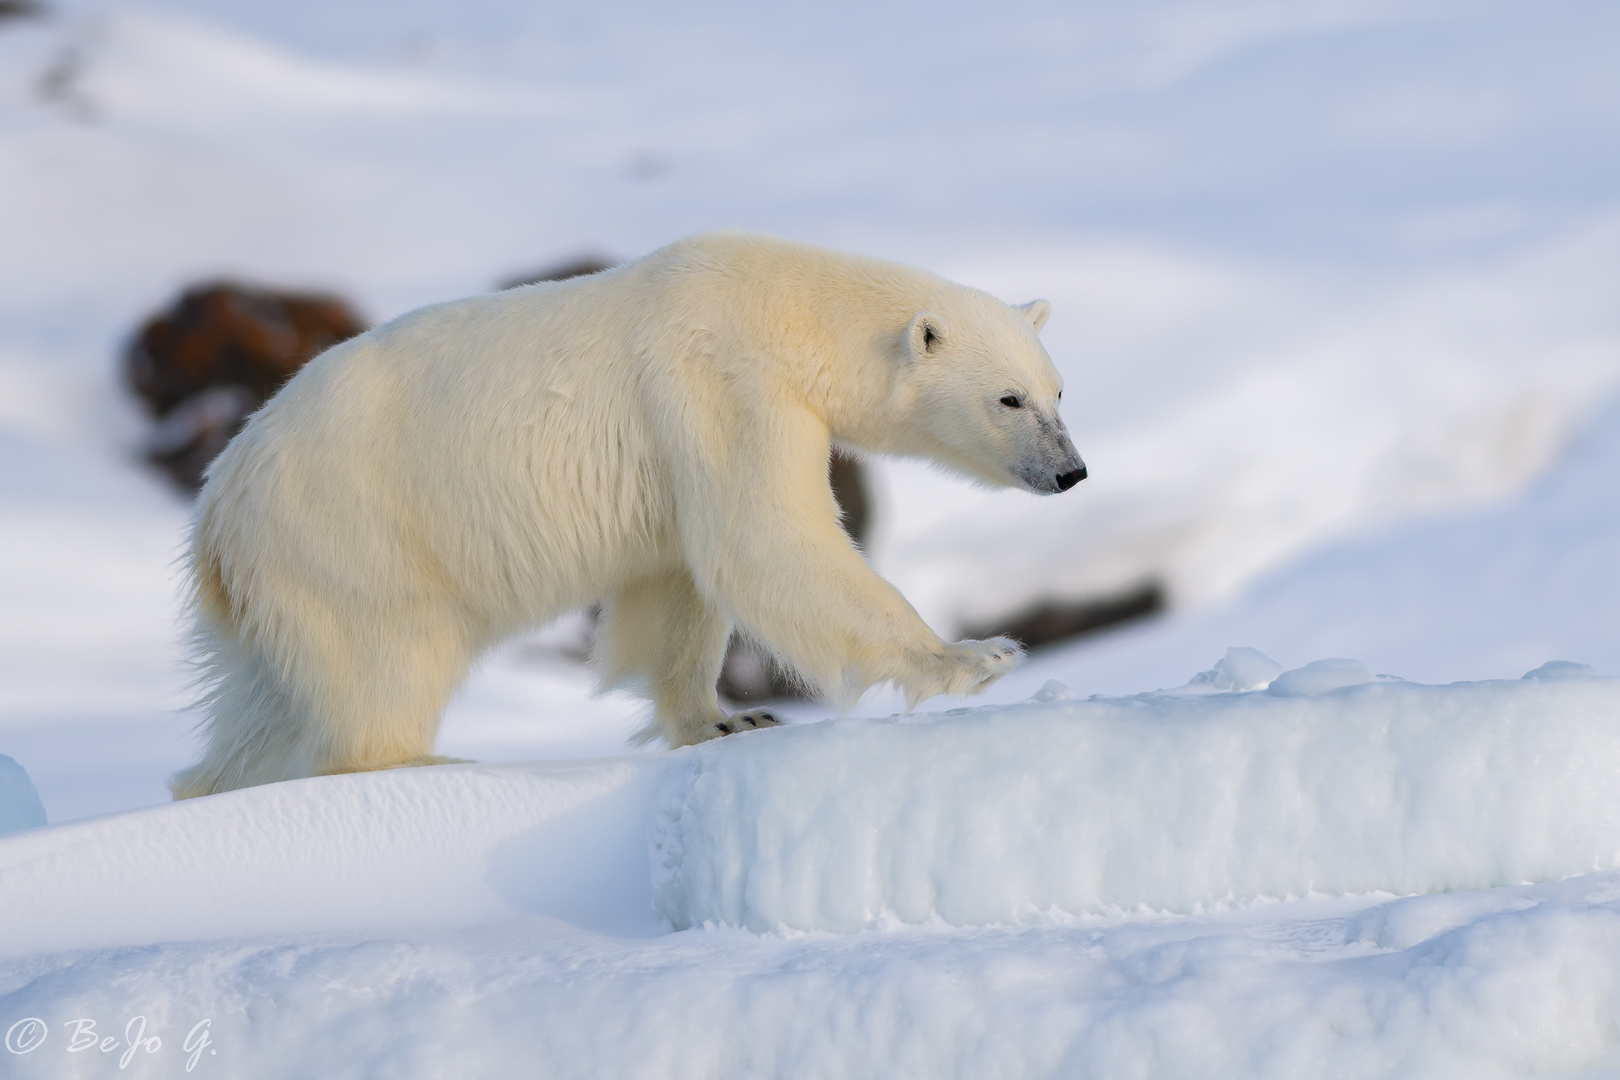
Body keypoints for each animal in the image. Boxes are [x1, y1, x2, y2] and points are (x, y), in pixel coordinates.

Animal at [170, 233, 1088, 799]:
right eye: (1008, 398)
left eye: (1058, 391)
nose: (1071, 471)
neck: (787, 308)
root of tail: (215, 510)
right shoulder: (720, 383)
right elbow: (765, 540)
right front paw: (975, 655)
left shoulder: (679, 451)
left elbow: (678, 584)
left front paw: (728, 718)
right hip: (357, 532)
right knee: (384, 658)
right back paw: (417, 758)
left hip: (279, 589)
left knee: (266, 705)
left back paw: (211, 781)